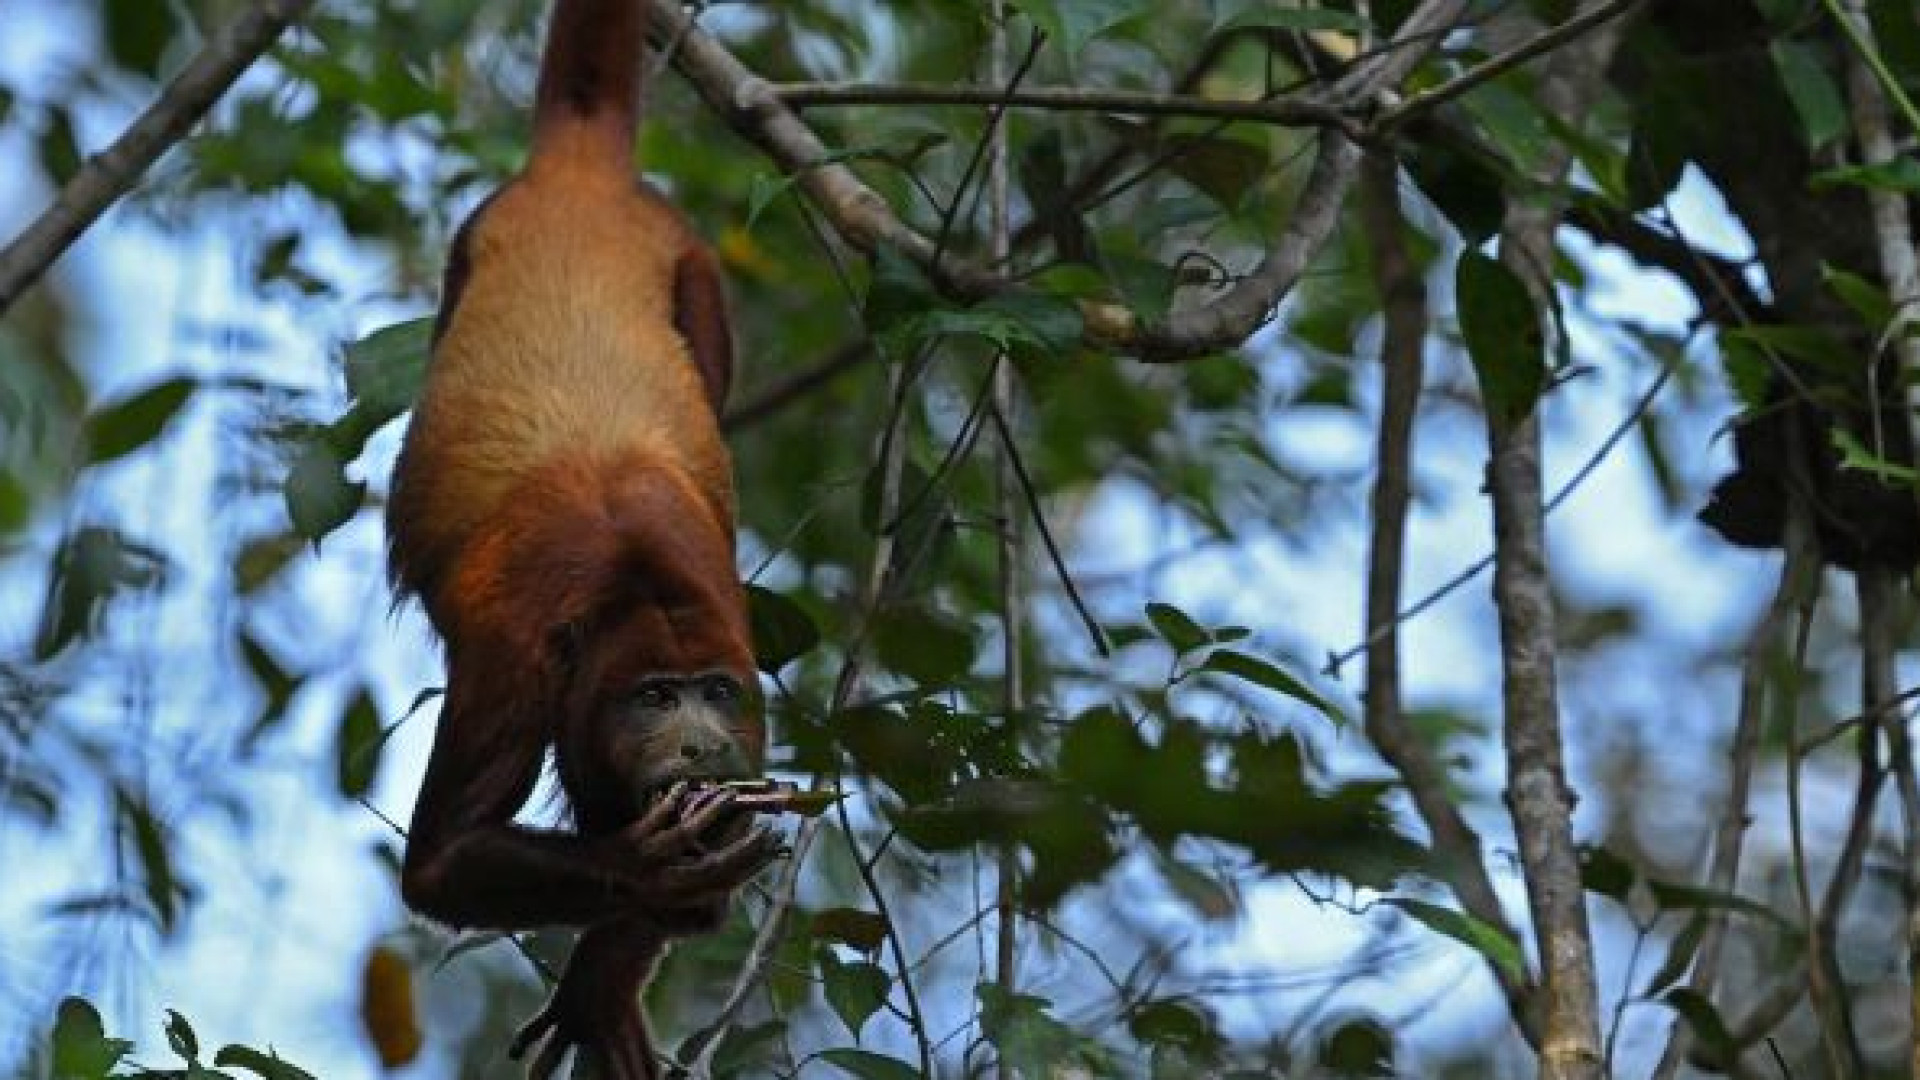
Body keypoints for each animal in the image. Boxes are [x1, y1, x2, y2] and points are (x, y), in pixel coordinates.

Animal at [382, 4, 779, 1068]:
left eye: (715, 695)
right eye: (655, 699)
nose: (698, 747)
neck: (630, 583)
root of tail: (582, 183)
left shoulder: (738, 635)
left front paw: (603, 982)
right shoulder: (512, 659)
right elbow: (438, 864)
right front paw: (648, 870)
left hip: (692, 265)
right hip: (475, 246)